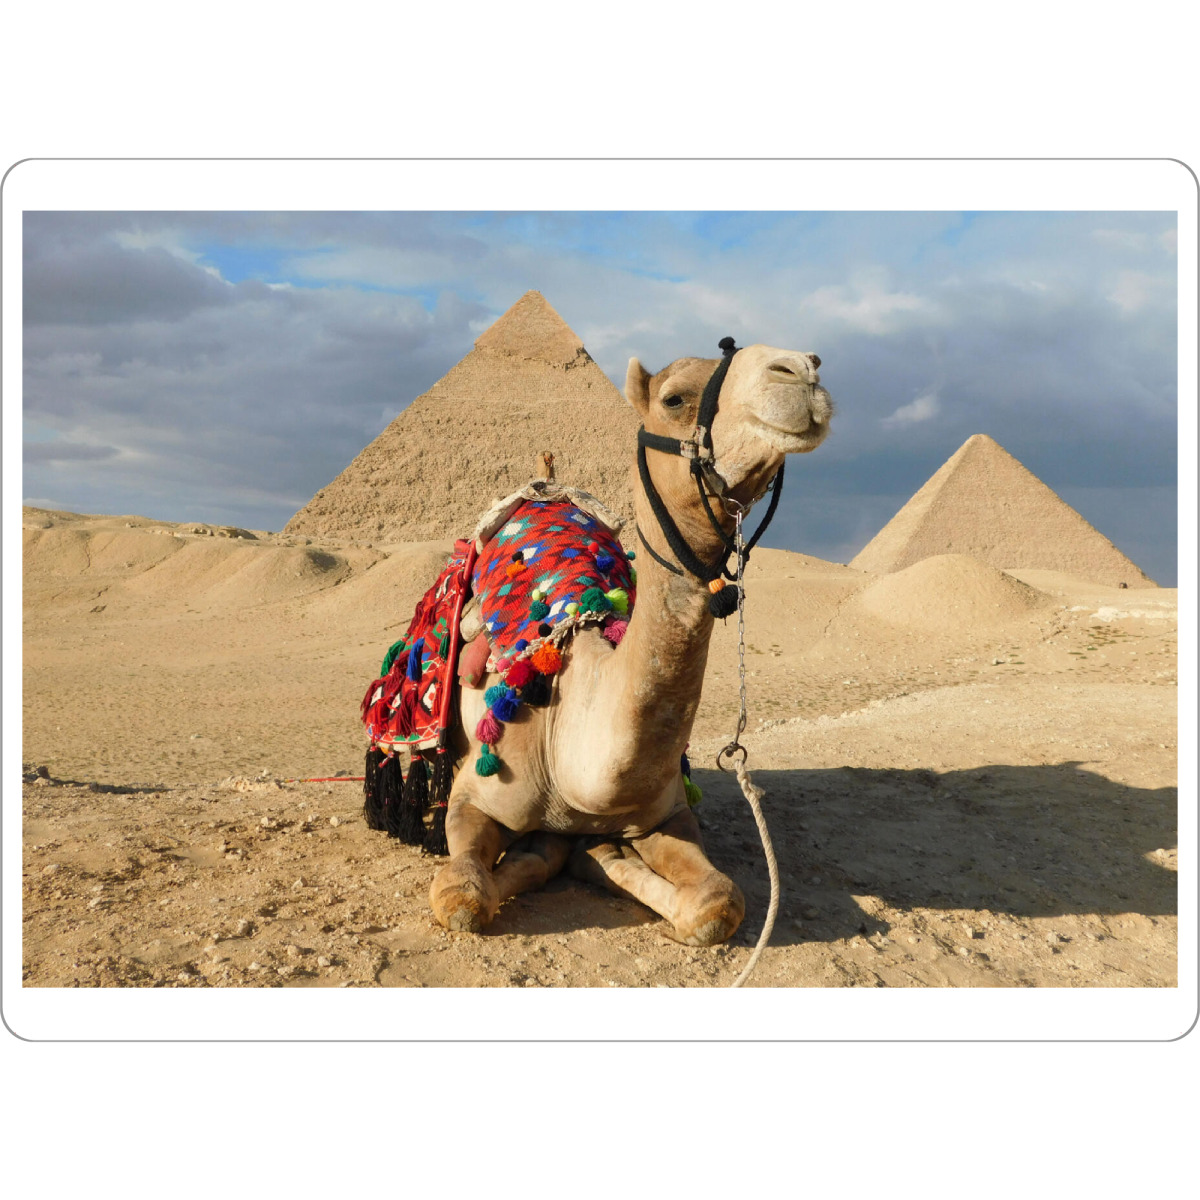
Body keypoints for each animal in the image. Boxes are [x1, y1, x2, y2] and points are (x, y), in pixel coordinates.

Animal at [427, 340, 833, 944]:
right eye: (675, 398)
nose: (801, 369)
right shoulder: (474, 796)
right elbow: (463, 895)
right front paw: (558, 856)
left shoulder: (667, 813)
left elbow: (718, 901)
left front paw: (600, 853)